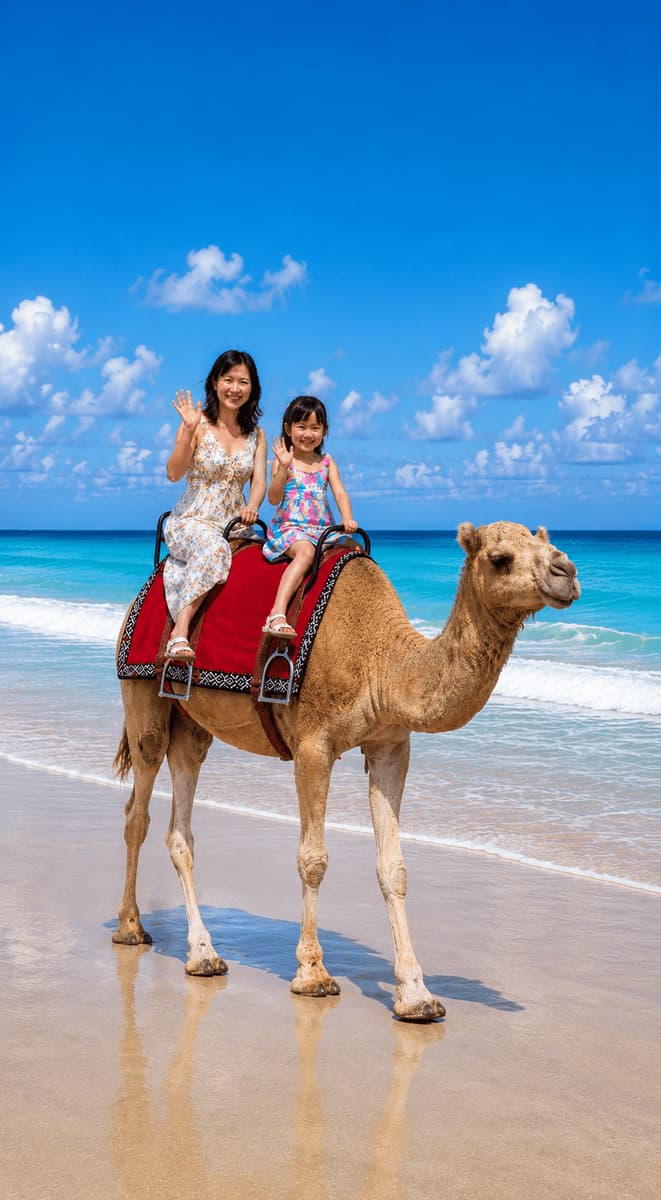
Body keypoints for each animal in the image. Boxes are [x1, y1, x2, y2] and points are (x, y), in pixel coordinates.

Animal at [113, 521, 579, 1021]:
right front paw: (312, 973)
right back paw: (131, 928)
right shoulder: (313, 745)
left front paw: (415, 994)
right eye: (500, 558)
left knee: (182, 821)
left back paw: (202, 954)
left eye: (545, 543)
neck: (383, 661)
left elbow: (394, 868)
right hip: (141, 694)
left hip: (192, 722)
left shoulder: (391, 746)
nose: (566, 572)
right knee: (138, 805)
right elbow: (313, 859)